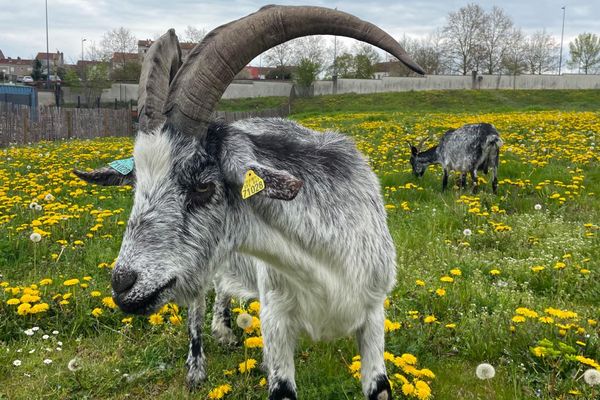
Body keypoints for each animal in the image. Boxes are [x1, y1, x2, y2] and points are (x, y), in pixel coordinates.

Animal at [71, 6, 426, 400]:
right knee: (197, 303)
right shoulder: (275, 317)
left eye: (203, 186)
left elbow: (379, 385)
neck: (325, 269)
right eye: (137, 185)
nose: (122, 285)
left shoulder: (374, 312)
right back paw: (200, 363)